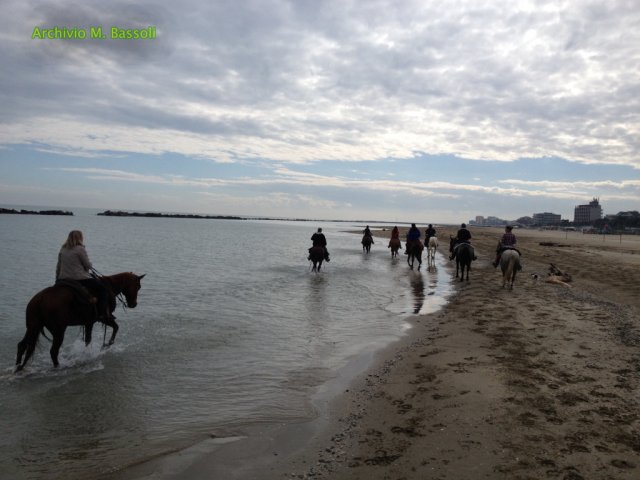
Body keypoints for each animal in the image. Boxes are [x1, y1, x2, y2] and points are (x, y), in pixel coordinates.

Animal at [15, 272, 145, 371]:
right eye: (138, 286)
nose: (134, 304)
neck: (110, 287)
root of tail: (40, 300)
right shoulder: (103, 318)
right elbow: (116, 327)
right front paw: (107, 344)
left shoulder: (89, 322)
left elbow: (88, 340)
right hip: (58, 331)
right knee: (53, 351)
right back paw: (58, 367)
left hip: (33, 327)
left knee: (22, 345)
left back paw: (18, 367)